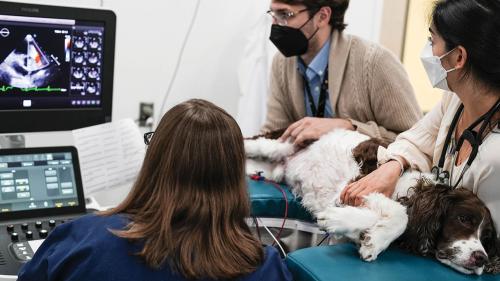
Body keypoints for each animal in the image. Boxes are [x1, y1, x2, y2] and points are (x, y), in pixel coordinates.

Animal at [246, 129, 500, 274]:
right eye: (463, 219)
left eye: (486, 238)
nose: (481, 258)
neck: (412, 192)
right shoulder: (356, 187)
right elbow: (401, 216)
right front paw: (369, 236)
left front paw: (370, 238)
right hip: (276, 144)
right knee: (250, 142)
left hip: (274, 168)